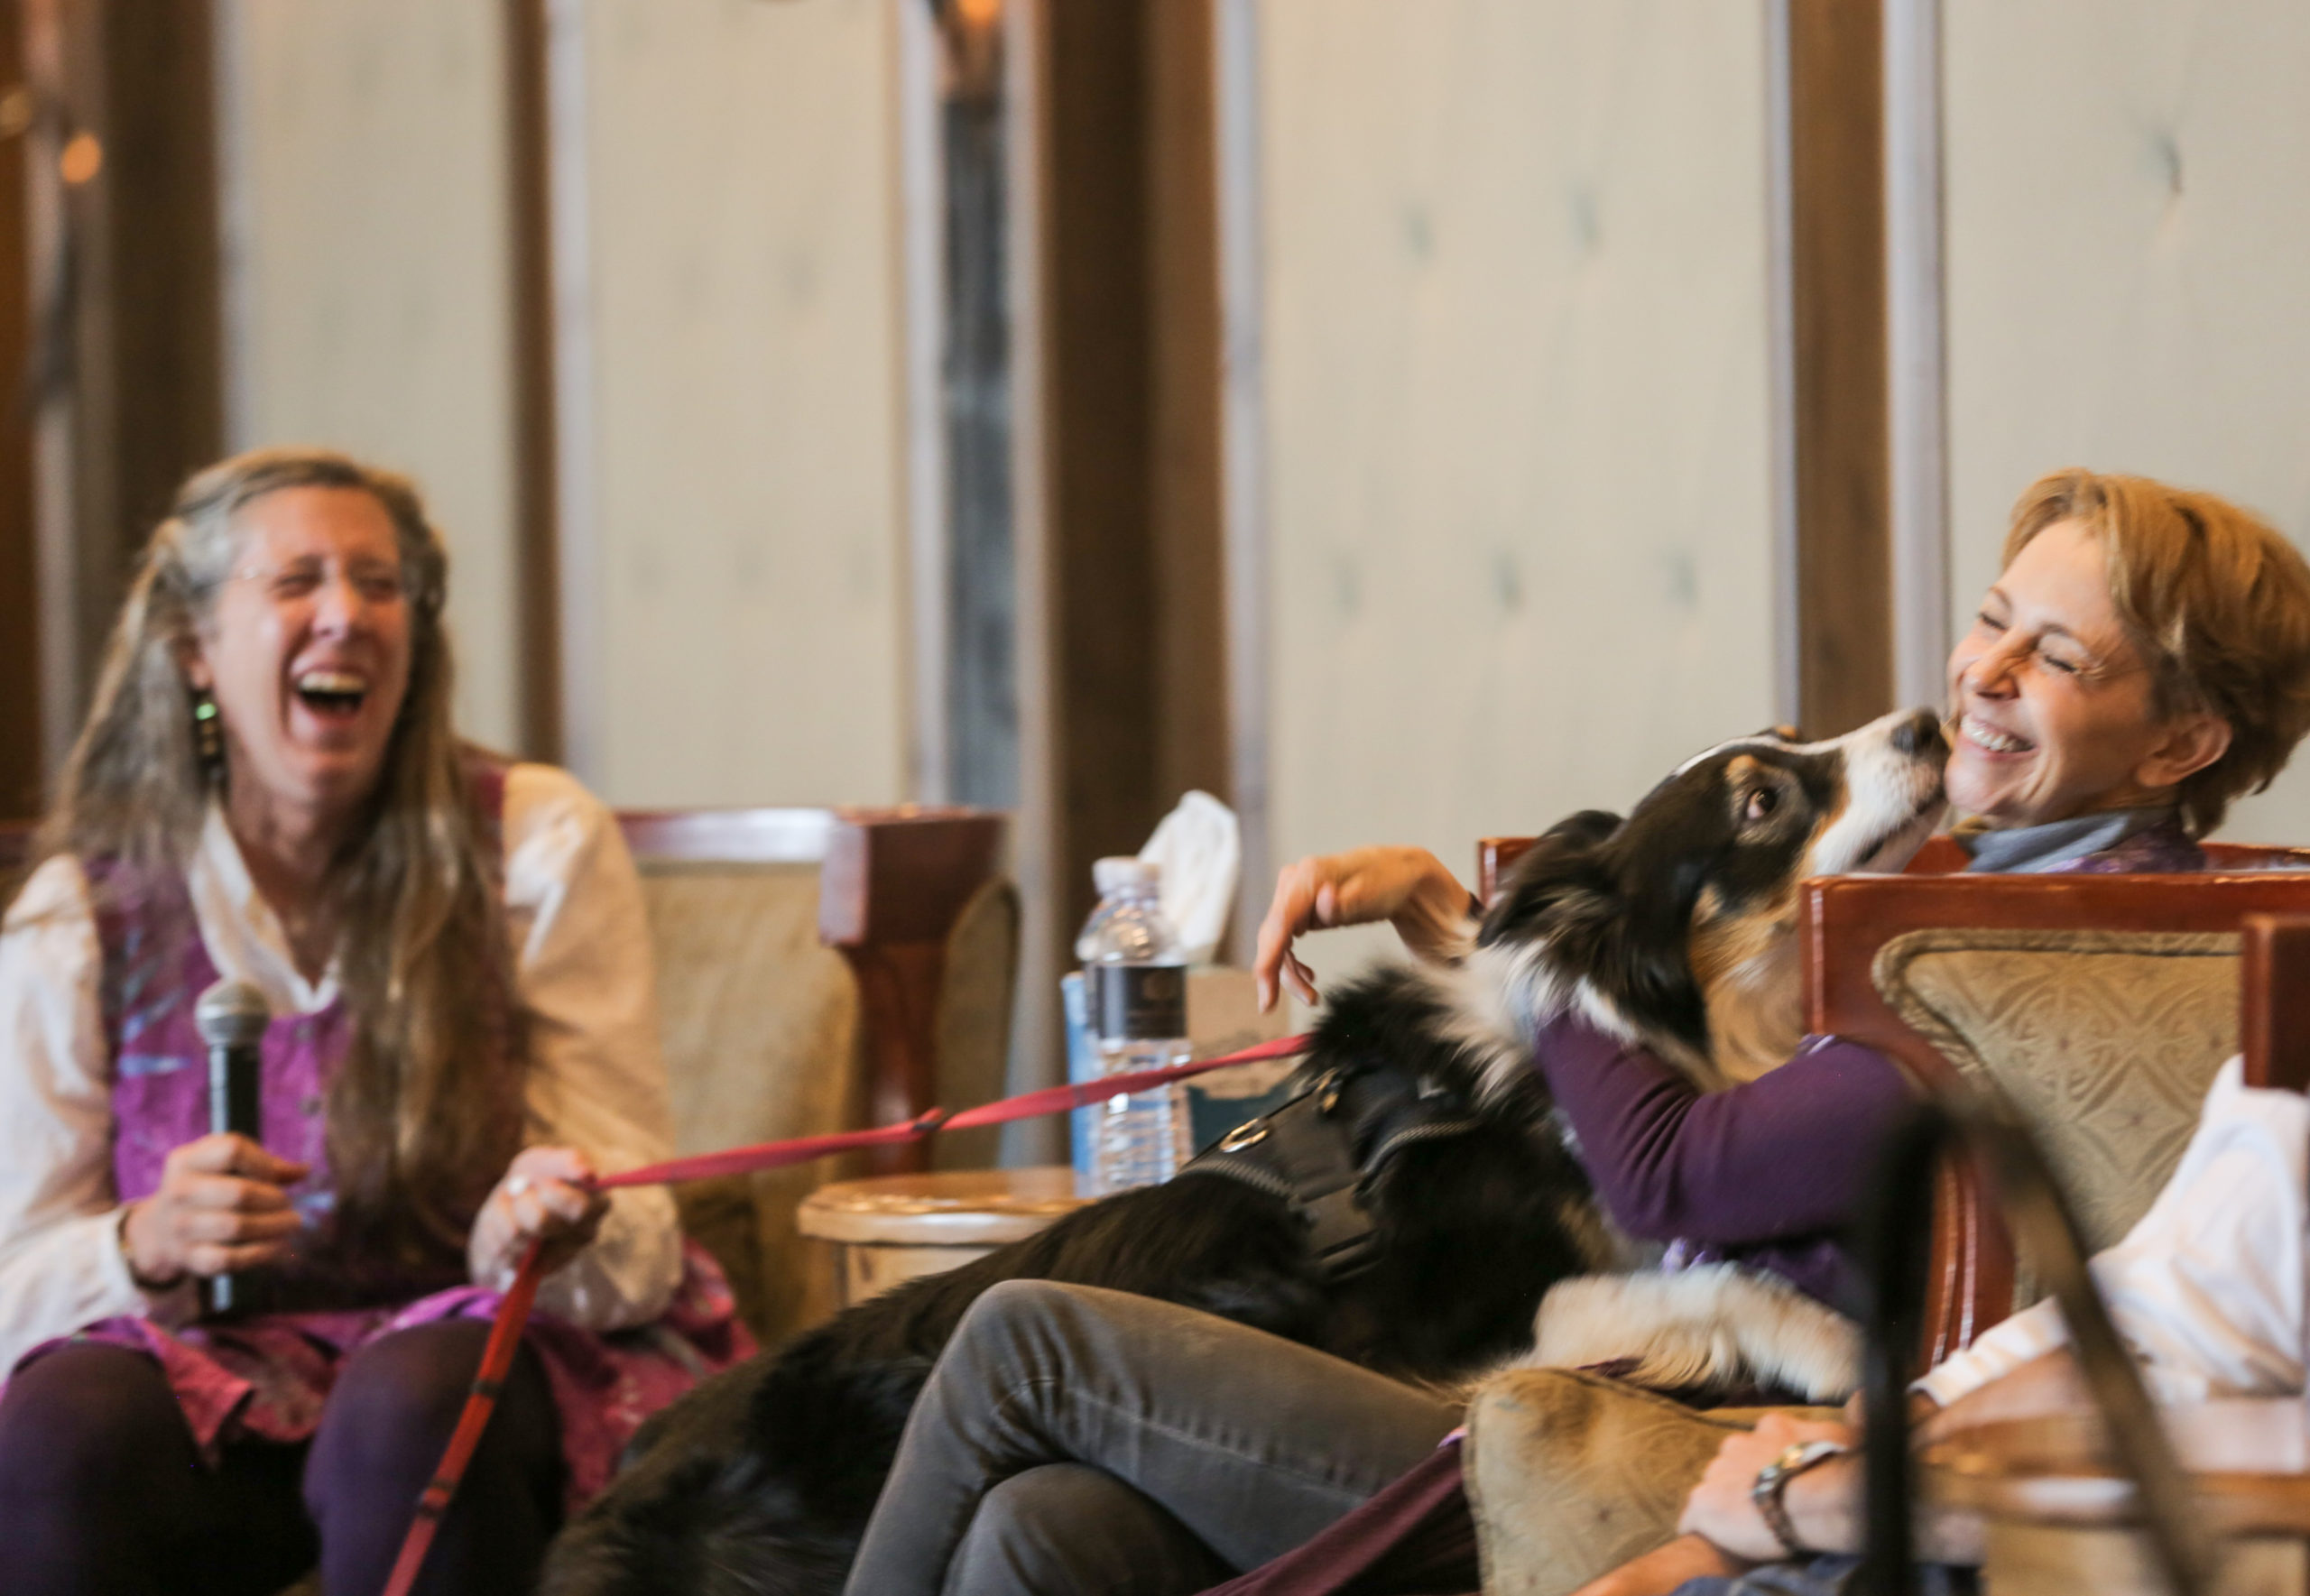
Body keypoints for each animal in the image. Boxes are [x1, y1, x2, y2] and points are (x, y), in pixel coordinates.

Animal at [541, 711, 1949, 1596]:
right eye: (1763, 798)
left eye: (1795, 734)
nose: (1928, 724)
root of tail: (605, 1492)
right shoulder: (1449, 1340)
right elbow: (1704, 1281)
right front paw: (1835, 1349)